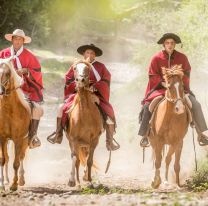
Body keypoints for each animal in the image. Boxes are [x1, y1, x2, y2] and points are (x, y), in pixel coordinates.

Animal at [66, 59, 103, 187]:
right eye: (74, 68)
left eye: (88, 68)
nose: (80, 80)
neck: (85, 114)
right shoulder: (74, 140)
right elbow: (75, 159)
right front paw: (72, 181)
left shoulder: (94, 140)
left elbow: (89, 161)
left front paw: (89, 180)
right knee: (77, 159)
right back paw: (77, 180)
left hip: (86, 144)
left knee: (86, 158)